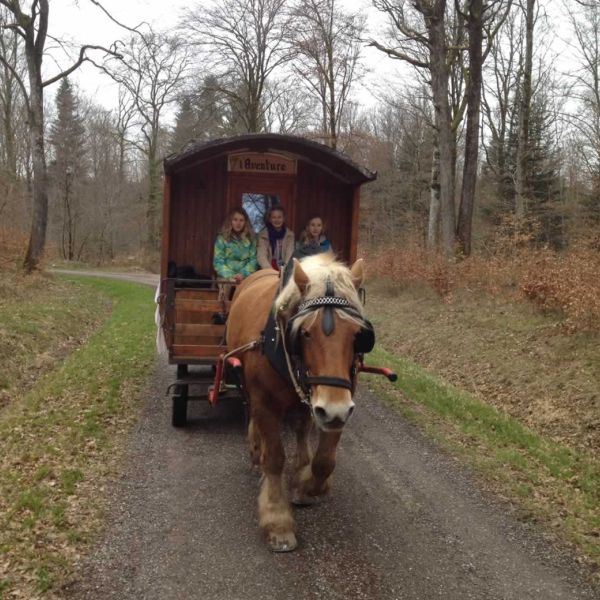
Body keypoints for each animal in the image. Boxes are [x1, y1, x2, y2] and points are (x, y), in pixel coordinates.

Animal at [226, 253, 376, 552]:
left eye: (358, 335)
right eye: (305, 333)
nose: (333, 408)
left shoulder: (339, 404)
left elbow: (325, 460)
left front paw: (308, 486)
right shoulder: (266, 404)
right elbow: (274, 459)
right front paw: (278, 520)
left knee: (301, 427)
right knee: (253, 415)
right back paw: (256, 449)